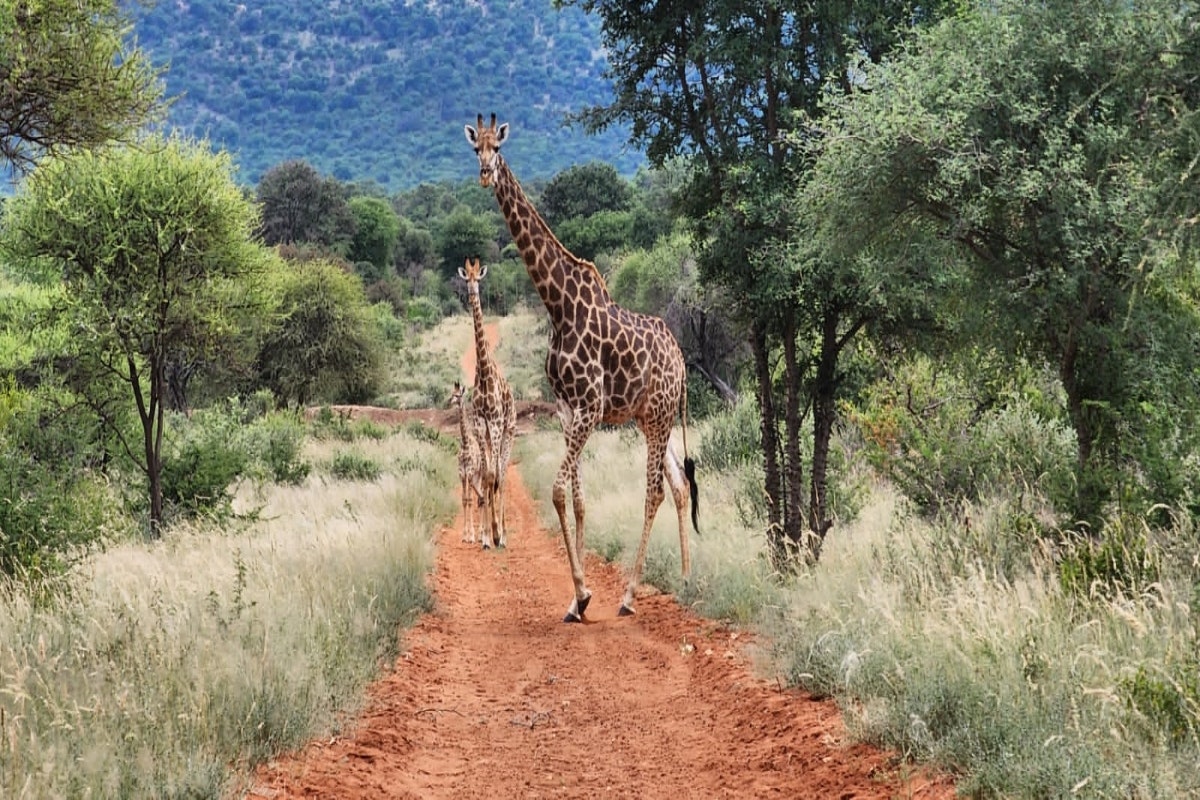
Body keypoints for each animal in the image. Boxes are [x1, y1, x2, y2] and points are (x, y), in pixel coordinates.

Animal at [465, 113, 699, 622]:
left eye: (499, 147)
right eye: (476, 149)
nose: (486, 174)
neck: (558, 307)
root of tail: (681, 361)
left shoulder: (590, 405)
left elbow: (556, 491)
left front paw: (585, 593)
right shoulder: (567, 408)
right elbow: (576, 498)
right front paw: (577, 597)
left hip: (657, 418)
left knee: (655, 490)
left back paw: (630, 596)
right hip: (650, 417)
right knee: (676, 484)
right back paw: (685, 578)